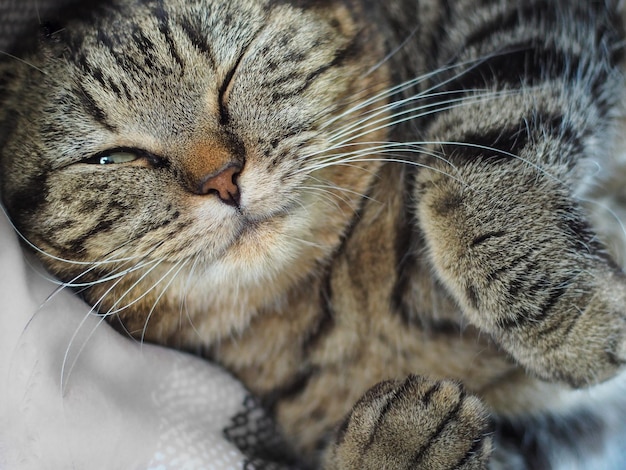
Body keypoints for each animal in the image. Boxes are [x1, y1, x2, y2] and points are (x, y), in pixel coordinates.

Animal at [1, 0, 624, 468]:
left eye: (234, 70)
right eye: (112, 159)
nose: (221, 178)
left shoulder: (520, 24)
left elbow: (473, 158)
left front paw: (575, 318)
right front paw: (396, 446)